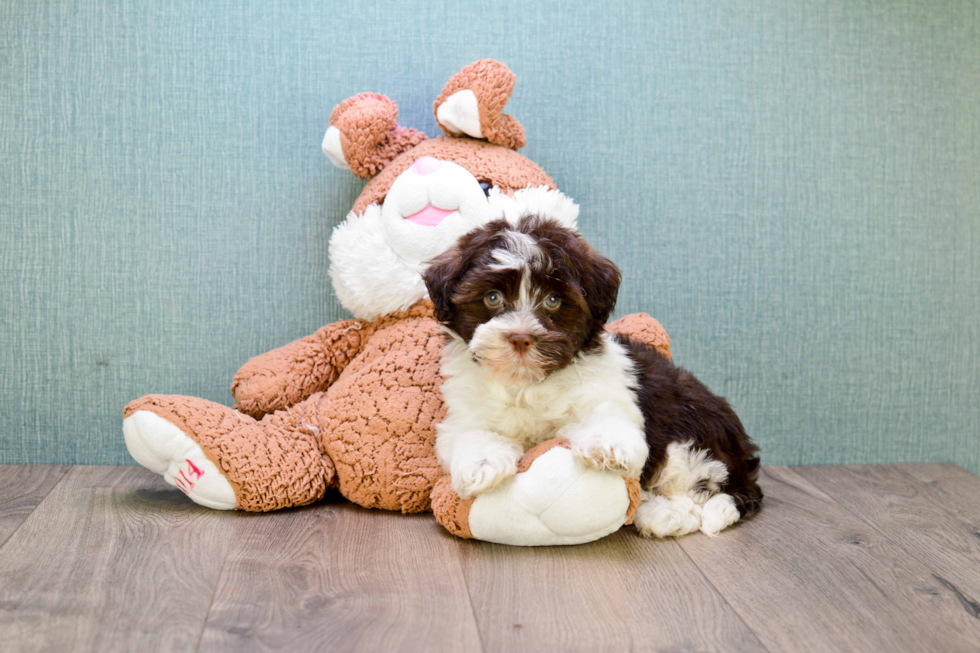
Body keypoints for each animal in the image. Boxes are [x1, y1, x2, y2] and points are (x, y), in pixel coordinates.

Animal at [424, 216, 760, 536]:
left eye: (553, 300)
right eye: (492, 298)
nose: (520, 338)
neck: (527, 383)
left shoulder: (606, 390)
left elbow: (606, 414)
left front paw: (607, 445)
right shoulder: (465, 412)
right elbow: (471, 434)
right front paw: (482, 464)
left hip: (689, 437)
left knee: (696, 494)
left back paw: (662, 515)